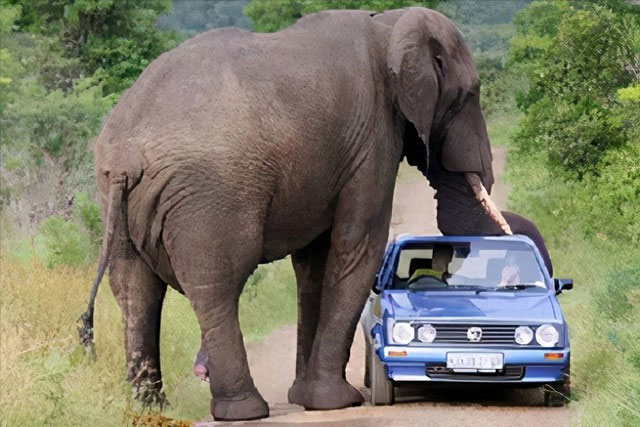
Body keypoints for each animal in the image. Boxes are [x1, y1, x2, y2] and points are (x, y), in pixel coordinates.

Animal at [78, 7, 532, 421]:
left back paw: (149, 408)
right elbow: (357, 246)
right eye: (469, 95)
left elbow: (314, 263)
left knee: (136, 291)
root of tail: (124, 156)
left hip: (117, 201)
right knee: (218, 284)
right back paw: (244, 411)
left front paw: (306, 397)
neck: (389, 24)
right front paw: (336, 402)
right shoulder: (372, 141)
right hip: (209, 196)